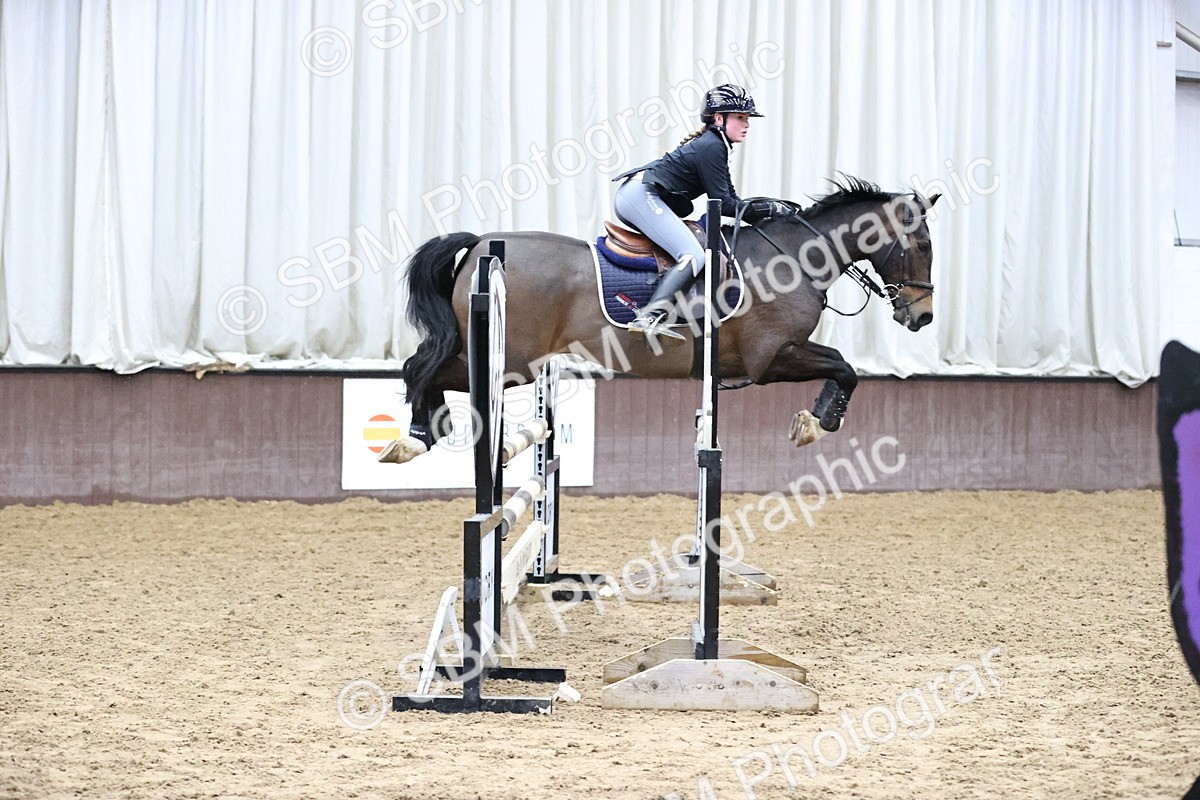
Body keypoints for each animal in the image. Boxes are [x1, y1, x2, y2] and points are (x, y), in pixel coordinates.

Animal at [381, 176, 940, 464]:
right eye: (923, 245)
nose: (923, 315)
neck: (795, 256)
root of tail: (482, 244)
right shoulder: (771, 359)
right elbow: (845, 366)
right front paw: (818, 423)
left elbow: (844, 367)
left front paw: (815, 420)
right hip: (512, 362)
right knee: (420, 368)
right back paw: (413, 436)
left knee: (424, 367)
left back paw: (428, 429)